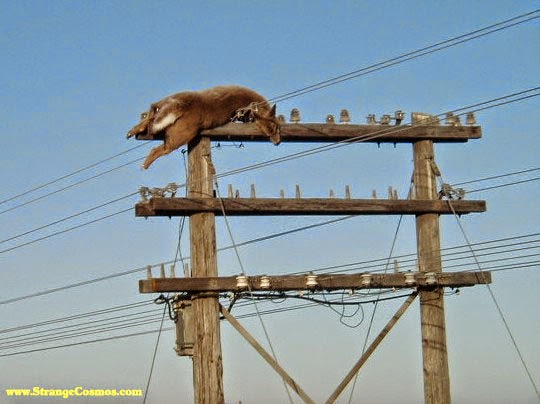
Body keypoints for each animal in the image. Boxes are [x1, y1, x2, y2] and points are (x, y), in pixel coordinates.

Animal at [126, 85, 281, 169]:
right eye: (274, 128)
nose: (278, 142)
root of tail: (181, 105)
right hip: (180, 135)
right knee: (159, 149)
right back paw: (145, 164)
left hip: (162, 105)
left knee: (150, 116)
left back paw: (133, 131)